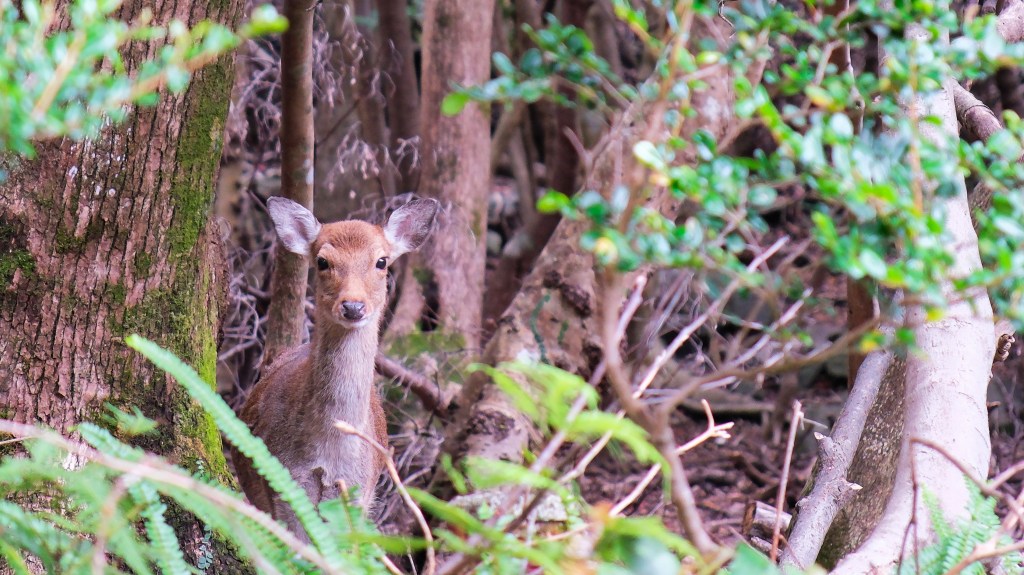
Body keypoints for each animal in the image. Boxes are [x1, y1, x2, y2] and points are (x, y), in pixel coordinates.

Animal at [234, 196, 439, 537]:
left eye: (381, 261)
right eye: (322, 261)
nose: (353, 306)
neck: (329, 454)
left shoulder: (359, 488)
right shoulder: (285, 484)